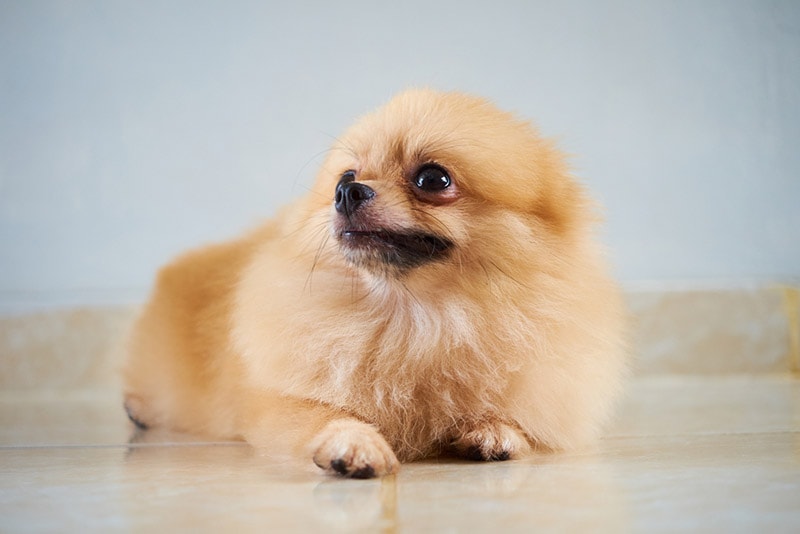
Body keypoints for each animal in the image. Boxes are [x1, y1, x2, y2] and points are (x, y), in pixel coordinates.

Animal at [123, 90, 624, 480]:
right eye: (346, 177)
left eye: (433, 178)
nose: (347, 192)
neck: (413, 317)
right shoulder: (277, 401)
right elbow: (323, 413)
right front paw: (351, 442)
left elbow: (511, 416)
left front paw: (496, 429)